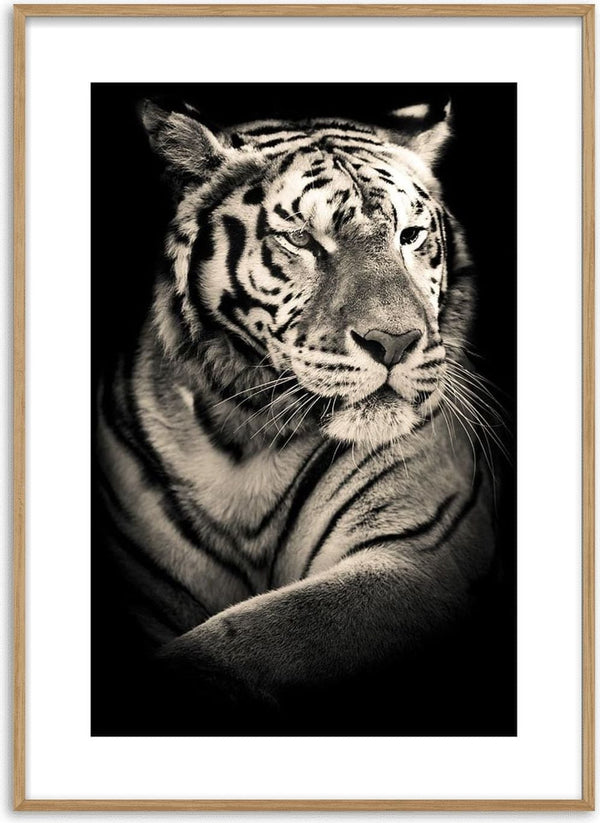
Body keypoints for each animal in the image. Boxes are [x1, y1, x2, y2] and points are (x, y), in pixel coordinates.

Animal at [96, 98, 501, 724]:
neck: (247, 443)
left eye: (410, 236)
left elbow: (254, 636)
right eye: (302, 239)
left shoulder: (420, 553)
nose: (395, 342)